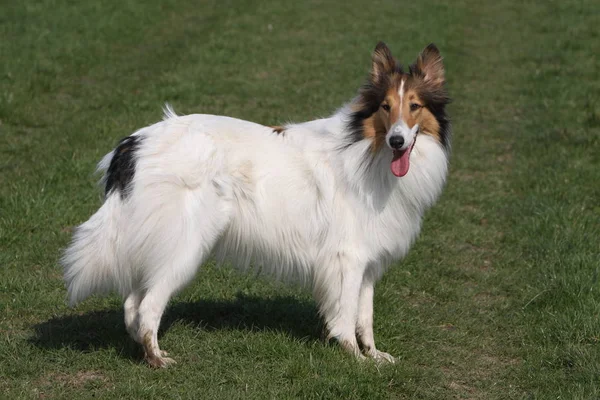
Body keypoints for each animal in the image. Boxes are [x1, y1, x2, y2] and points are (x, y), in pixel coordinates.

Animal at [63, 42, 452, 368]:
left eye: (414, 106)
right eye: (385, 106)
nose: (397, 141)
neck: (365, 149)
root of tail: (134, 143)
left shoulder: (367, 262)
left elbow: (365, 315)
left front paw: (373, 356)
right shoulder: (347, 259)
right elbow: (344, 315)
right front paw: (354, 358)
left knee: (132, 302)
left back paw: (143, 353)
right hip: (184, 247)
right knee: (147, 305)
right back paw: (158, 359)